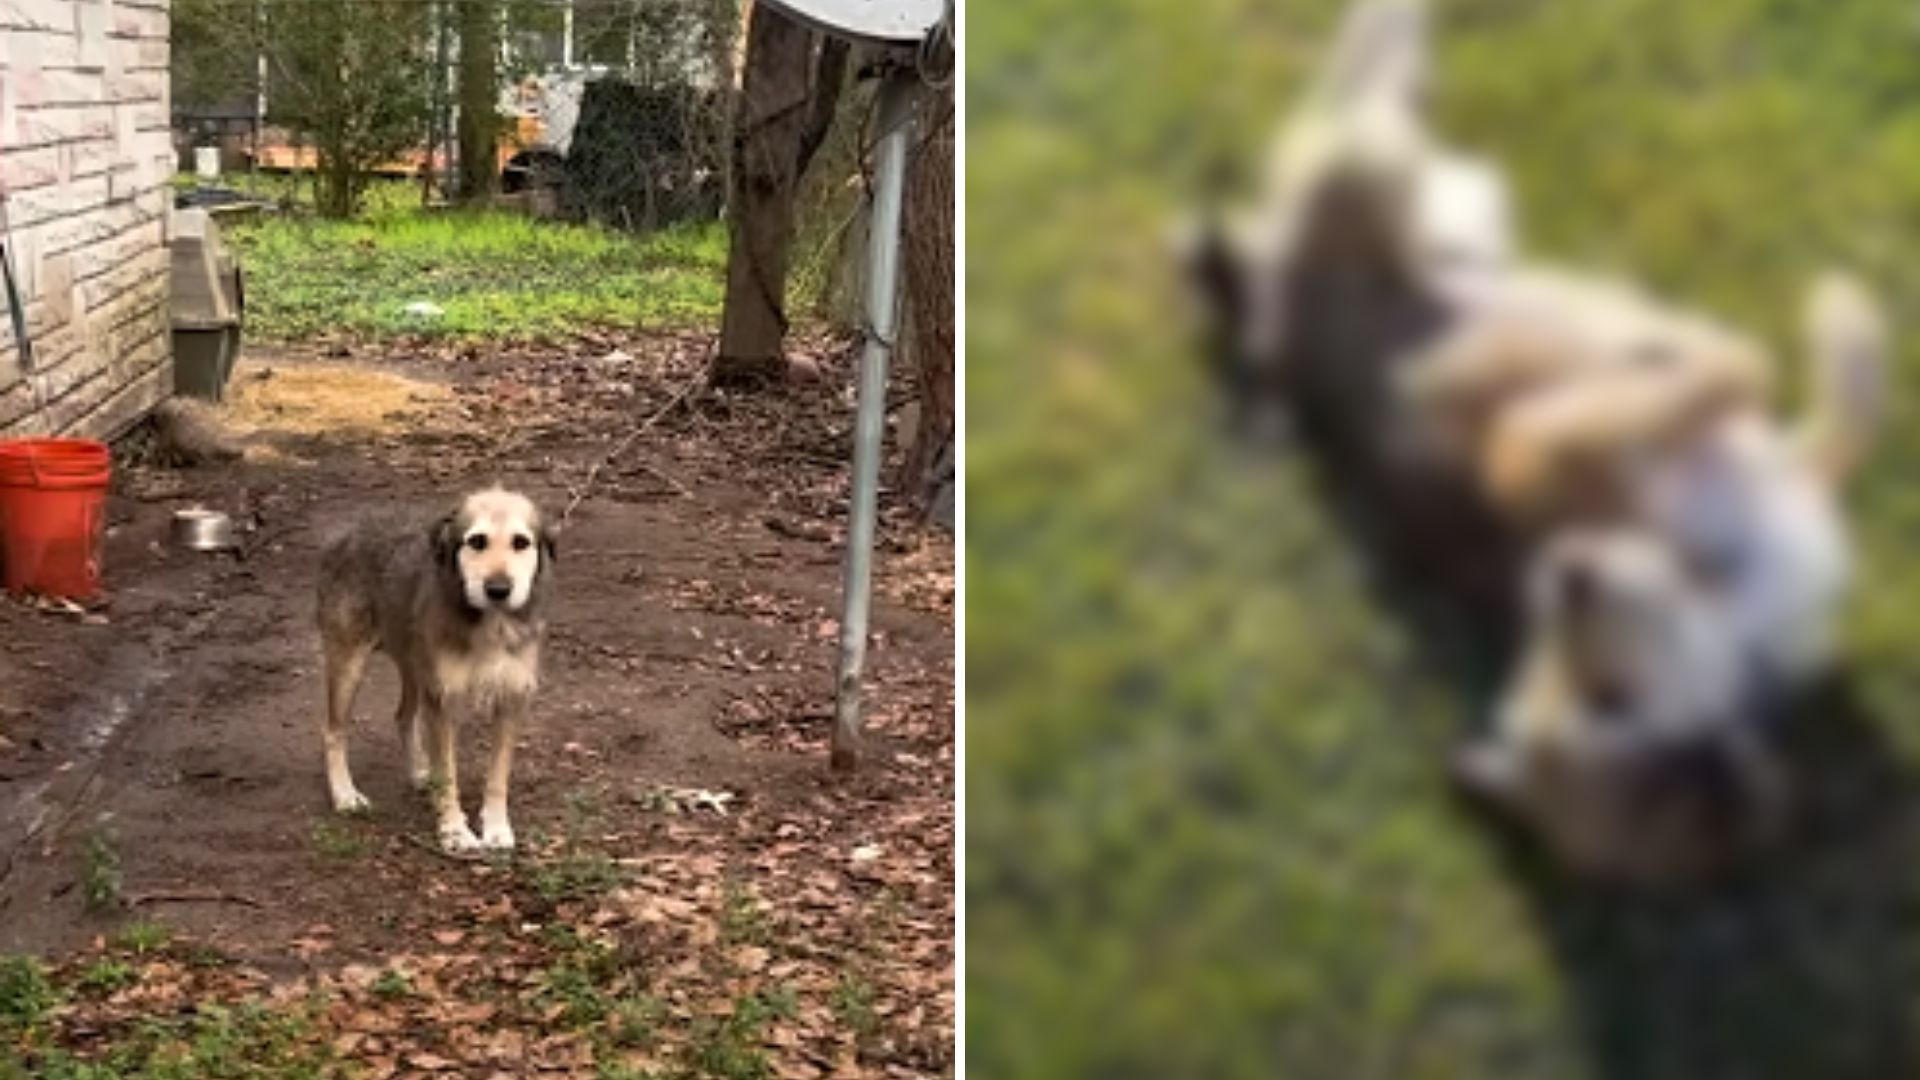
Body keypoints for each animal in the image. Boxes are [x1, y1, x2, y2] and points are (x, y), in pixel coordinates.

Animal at [1182, 0, 1889, 880]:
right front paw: (1731, 348)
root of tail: (1270, 328)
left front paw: (1839, 328)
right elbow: (1741, 367)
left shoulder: (1787, 473)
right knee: (1362, 102)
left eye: (1607, 697)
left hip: (1445, 209)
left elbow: (1843, 408)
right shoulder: (1530, 449)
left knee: (1373, 98)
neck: (1721, 605)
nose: (1565, 572)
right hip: (1371, 168)